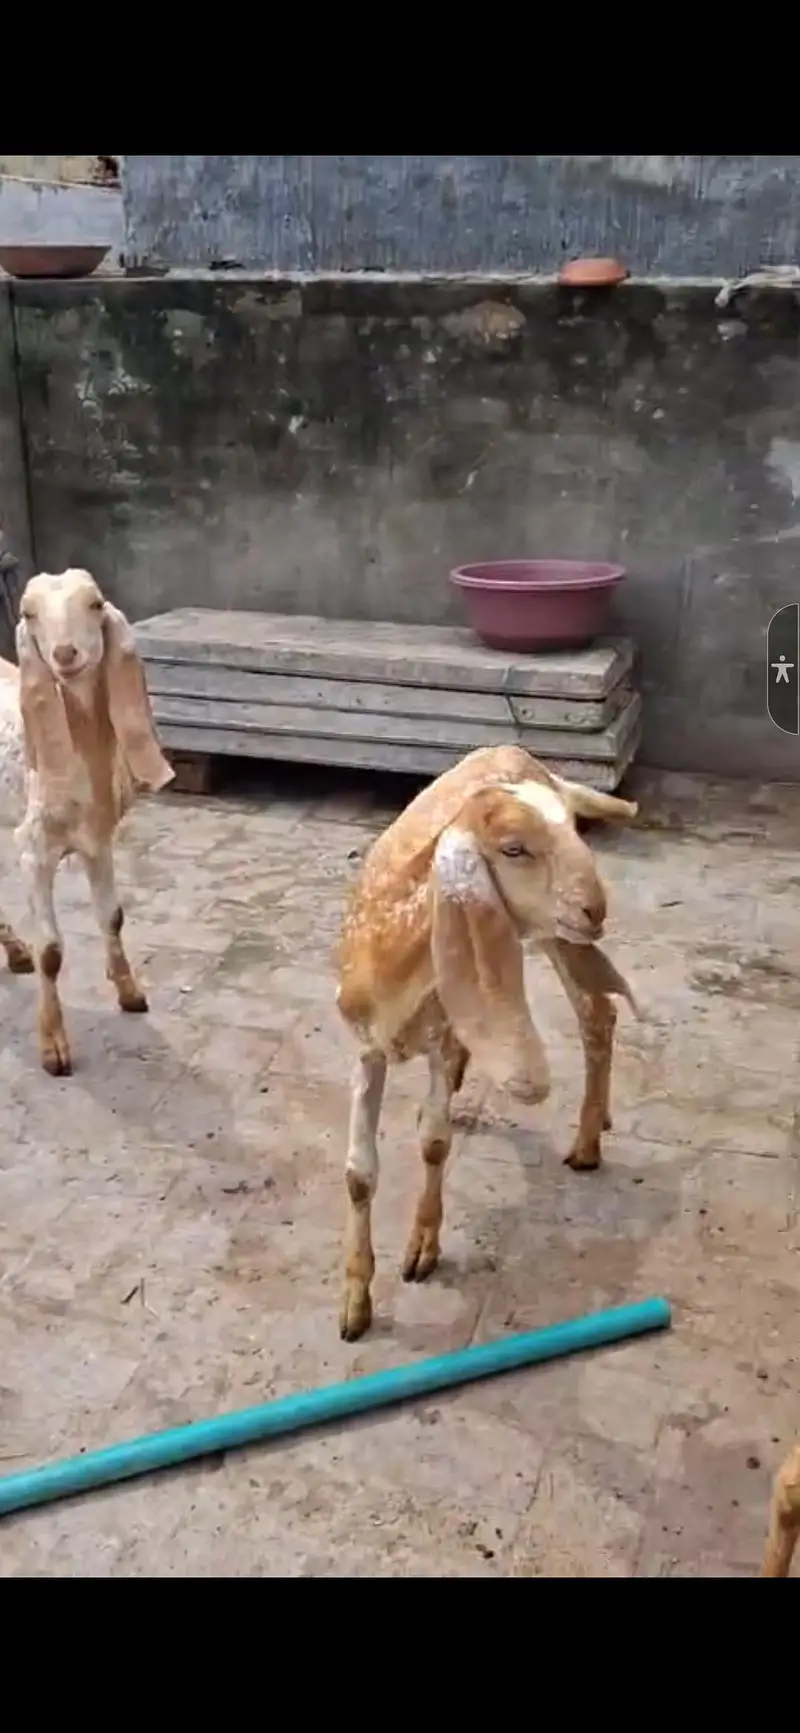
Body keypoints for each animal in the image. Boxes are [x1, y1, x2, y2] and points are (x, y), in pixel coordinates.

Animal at [0, 568, 174, 1075]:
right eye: (28, 613)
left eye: (95, 604)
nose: (64, 655)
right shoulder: (34, 850)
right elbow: (52, 951)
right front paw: (53, 1047)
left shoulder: (99, 841)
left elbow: (112, 917)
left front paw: (130, 993)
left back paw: (13, 950)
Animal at [335, 744, 639, 1341]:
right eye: (514, 848)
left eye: (575, 829)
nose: (595, 908)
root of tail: (512, 749)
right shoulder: (366, 1045)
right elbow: (360, 1174)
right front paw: (355, 1304)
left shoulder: (437, 1038)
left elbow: (434, 1143)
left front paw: (423, 1247)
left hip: (554, 934)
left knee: (597, 1014)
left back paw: (588, 1142)